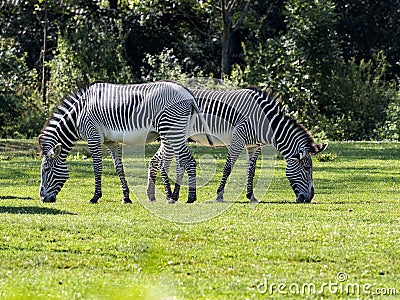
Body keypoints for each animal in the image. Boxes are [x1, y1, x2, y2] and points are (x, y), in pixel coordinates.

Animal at [38, 81, 212, 204]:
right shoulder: (110, 142)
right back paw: (175, 196)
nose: (43, 199)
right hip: (177, 132)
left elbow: (97, 168)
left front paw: (95, 197)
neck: (78, 114)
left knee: (189, 161)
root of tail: (188, 94)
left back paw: (190, 198)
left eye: (46, 169)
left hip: (172, 131)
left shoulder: (94, 137)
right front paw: (126, 197)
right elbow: (119, 168)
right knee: (182, 162)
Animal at [148, 88, 328, 203]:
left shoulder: (254, 146)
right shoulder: (238, 140)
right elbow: (228, 168)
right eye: (307, 168)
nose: (309, 199)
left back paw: (153, 195)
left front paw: (251, 196)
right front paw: (219, 195)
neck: (264, 122)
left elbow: (251, 171)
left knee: (156, 160)